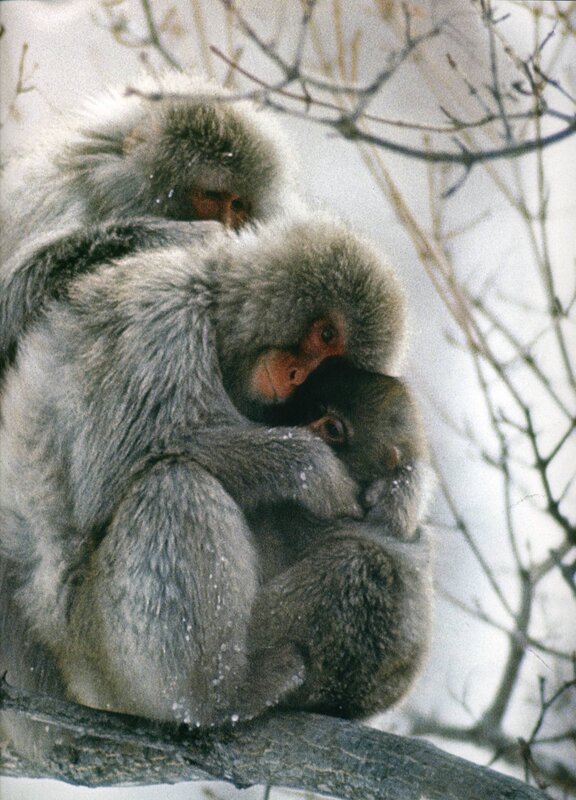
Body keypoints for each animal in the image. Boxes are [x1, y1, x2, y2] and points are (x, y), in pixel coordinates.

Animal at [0, 70, 298, 380]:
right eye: (210, 195)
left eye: (237, 205)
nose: (230, 226)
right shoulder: (60, 201)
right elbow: (9, 303)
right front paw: (185, 236)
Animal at [0, 213, 412, 753]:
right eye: (325, 334)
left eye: (332, 361)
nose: (299, 375)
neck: (220, 331)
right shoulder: (161, 318)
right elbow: (117, 464)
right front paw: (312, 467)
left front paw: (401, 490)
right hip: (91, 655)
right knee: (174, 487)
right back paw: (215, 699)